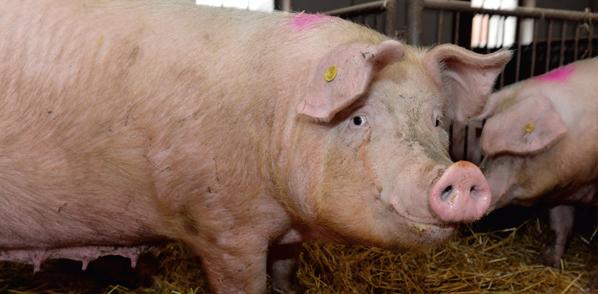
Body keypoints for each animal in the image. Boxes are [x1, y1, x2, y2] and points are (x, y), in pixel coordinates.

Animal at [0, 0, 512, 292]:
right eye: (357, 117)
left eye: (437, 120)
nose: (462, 174)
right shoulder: (222, 227)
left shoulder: (286, 234)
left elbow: (286, 274)